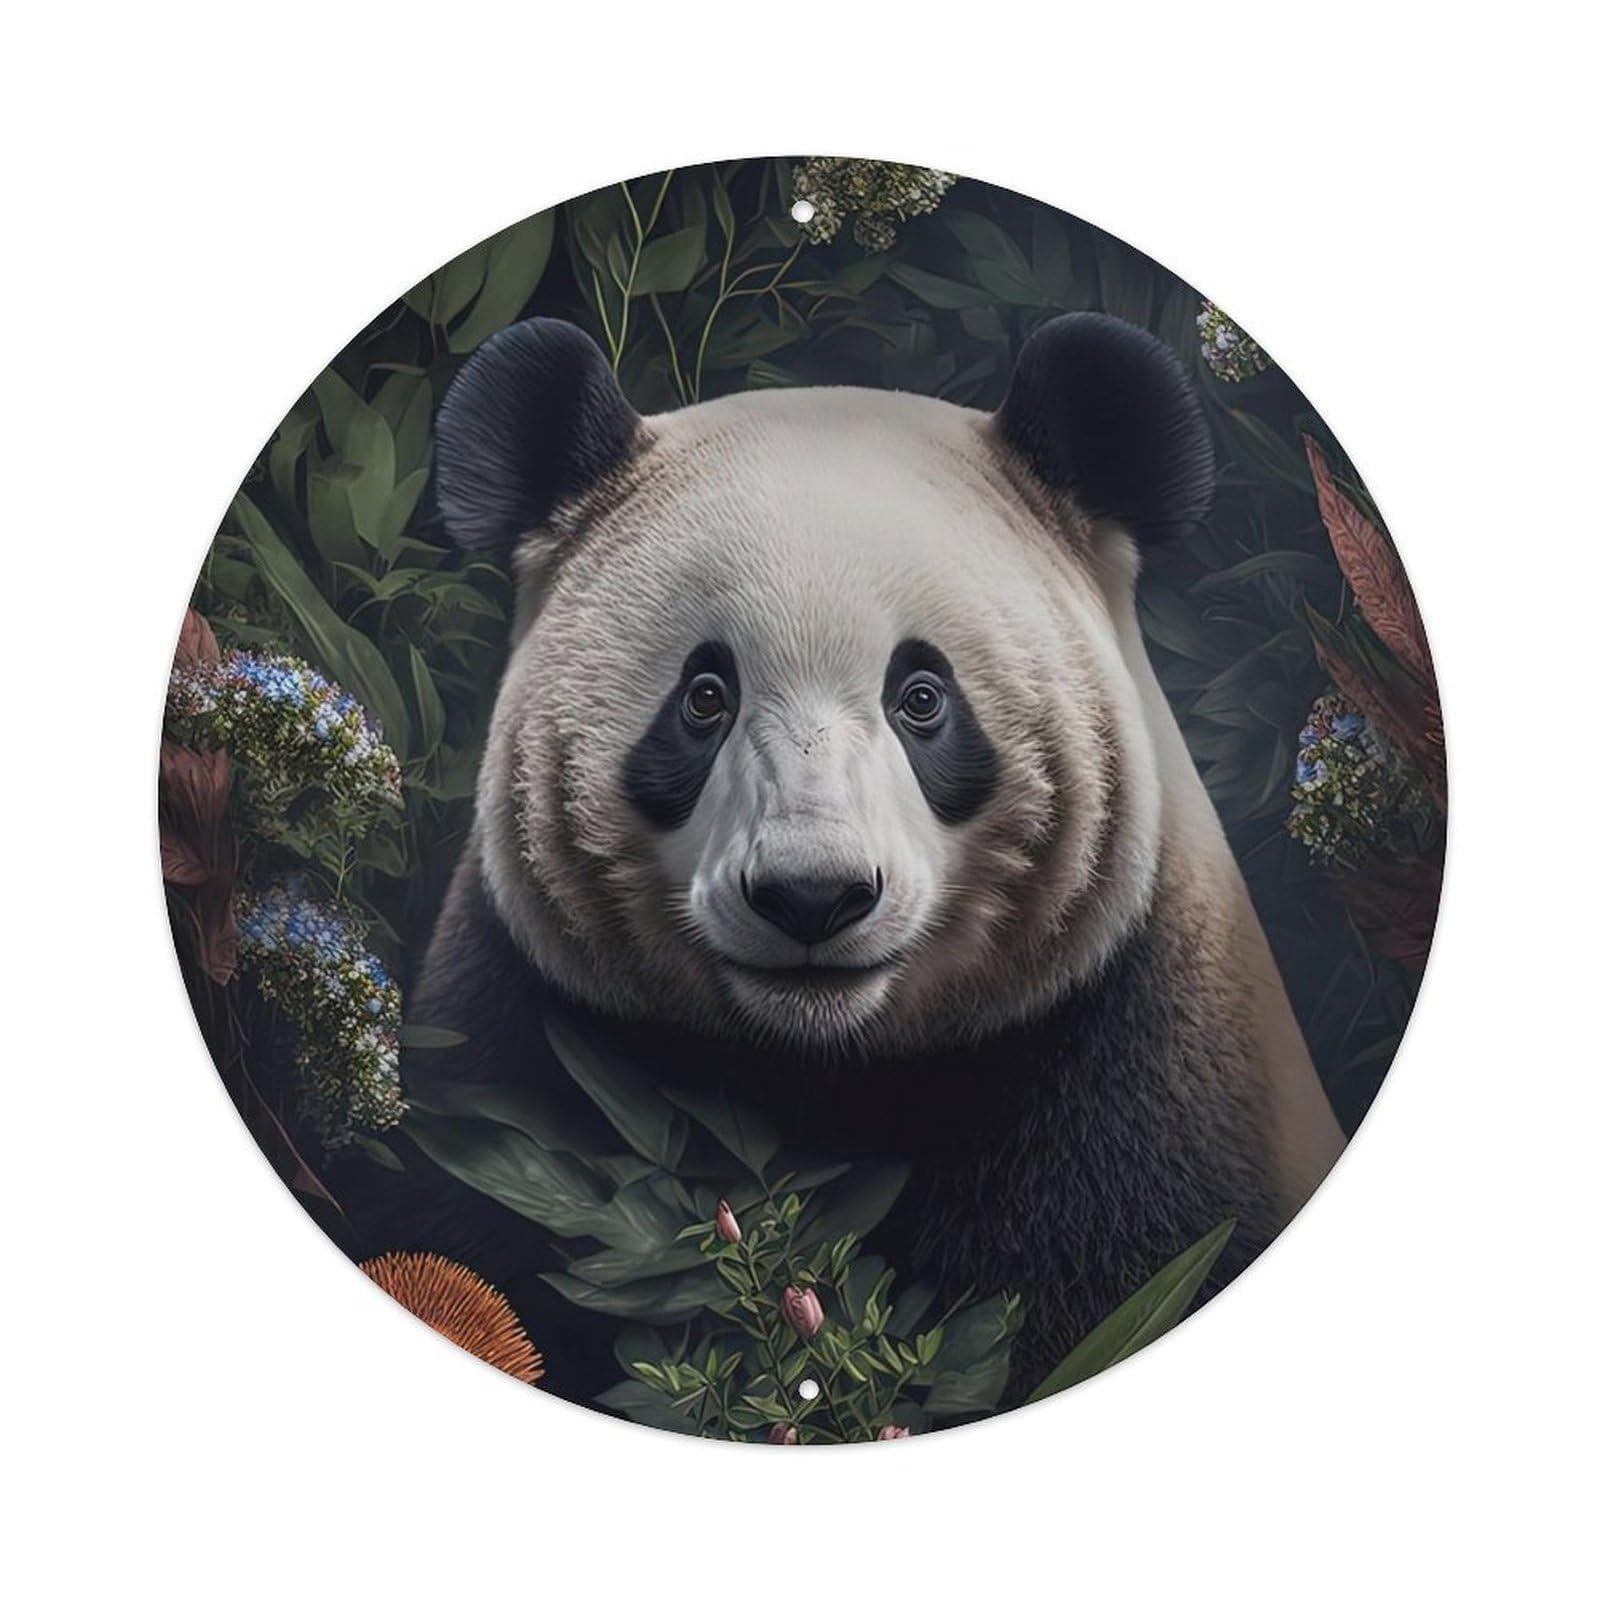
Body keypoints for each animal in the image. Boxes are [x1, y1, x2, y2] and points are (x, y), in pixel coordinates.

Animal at [378, 312, 1347, 1404]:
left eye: (922, 697)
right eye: (704, 696)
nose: (811, 895)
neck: (824, 1071)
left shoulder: (1135, 1066)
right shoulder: (520, 1055)